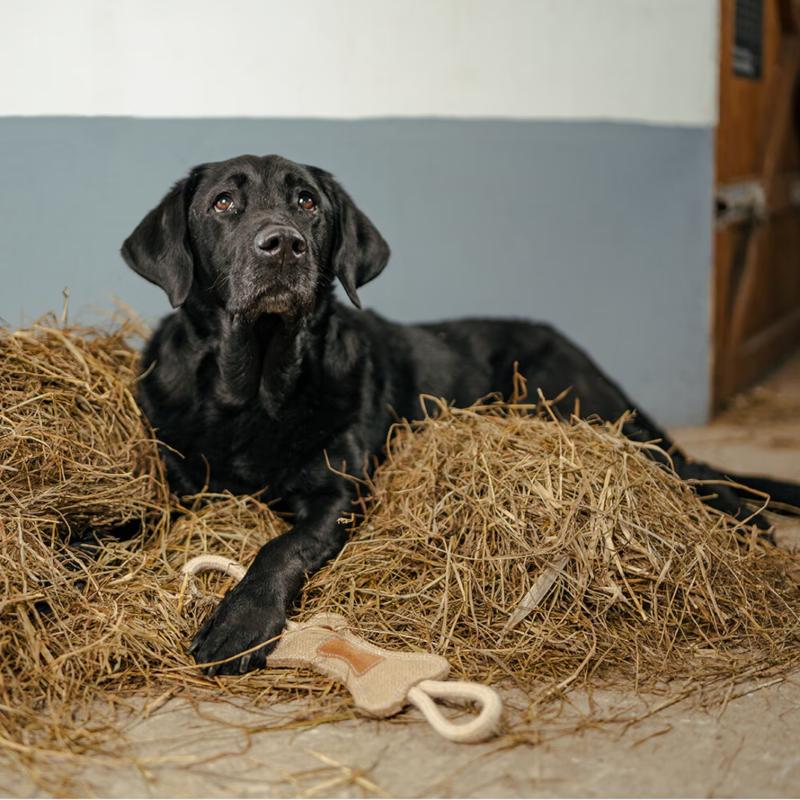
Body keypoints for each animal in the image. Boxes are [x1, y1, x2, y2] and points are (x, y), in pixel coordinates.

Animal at [122, 153, 800, 672]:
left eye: (307, 202)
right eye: (223, 204)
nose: (282, 244)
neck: (255, 391)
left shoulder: (336, 497)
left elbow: (279, 547)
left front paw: (241, 621)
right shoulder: (175, 476)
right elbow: (128, 518)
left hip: (579, 403)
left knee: (680, 464)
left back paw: (747, 519)